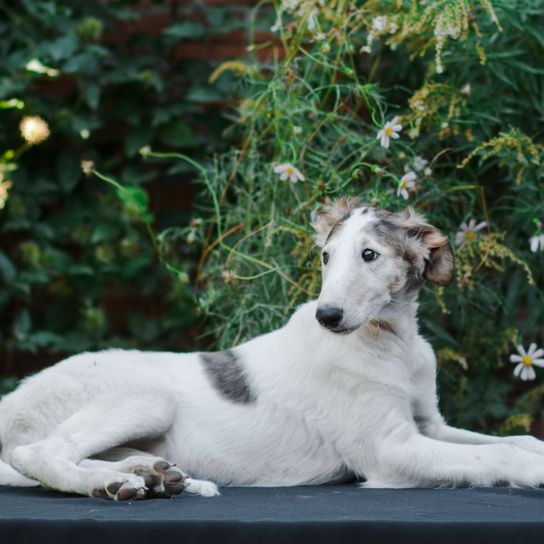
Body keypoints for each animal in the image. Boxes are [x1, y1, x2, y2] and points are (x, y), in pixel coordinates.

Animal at [1, 200, 544, 502]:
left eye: (369, 255)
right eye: (326, 257)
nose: (328, 317)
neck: (391, 341)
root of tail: (12, 399)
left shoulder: (429, 424)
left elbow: (513, 440)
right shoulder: (390, 449)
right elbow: (495, 457)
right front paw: (534, 473)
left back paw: (153, 476)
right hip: (148, 398)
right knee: (37, 453)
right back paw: (110, 486)